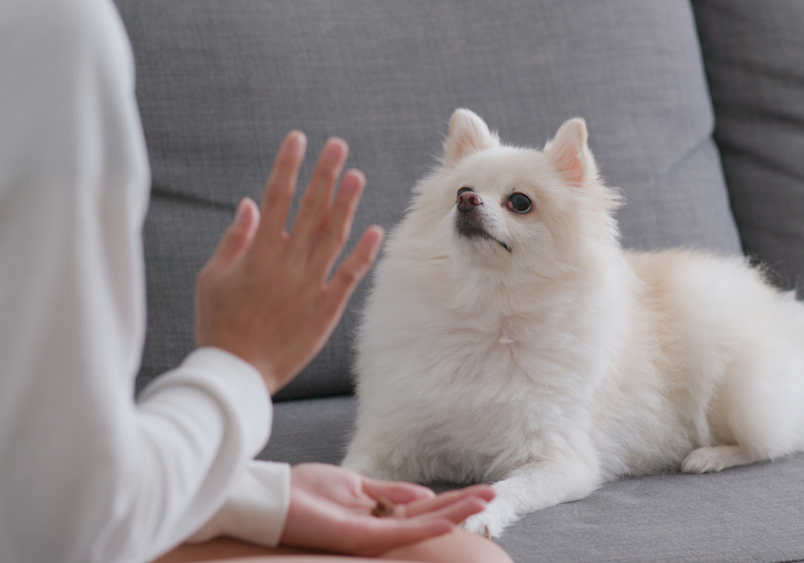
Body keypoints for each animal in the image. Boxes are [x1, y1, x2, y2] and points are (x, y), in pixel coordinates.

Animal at [342, 108, 804, 536]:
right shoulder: (394, 438)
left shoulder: (559, 461)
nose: (467, 202)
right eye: (462, 191)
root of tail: (784, 309)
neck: (489, 311)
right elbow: (349, 472)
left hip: (737, 385)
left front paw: (478, 517)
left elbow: (503, 489)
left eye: (520, 202)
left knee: (772, 441)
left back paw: (709, 456)